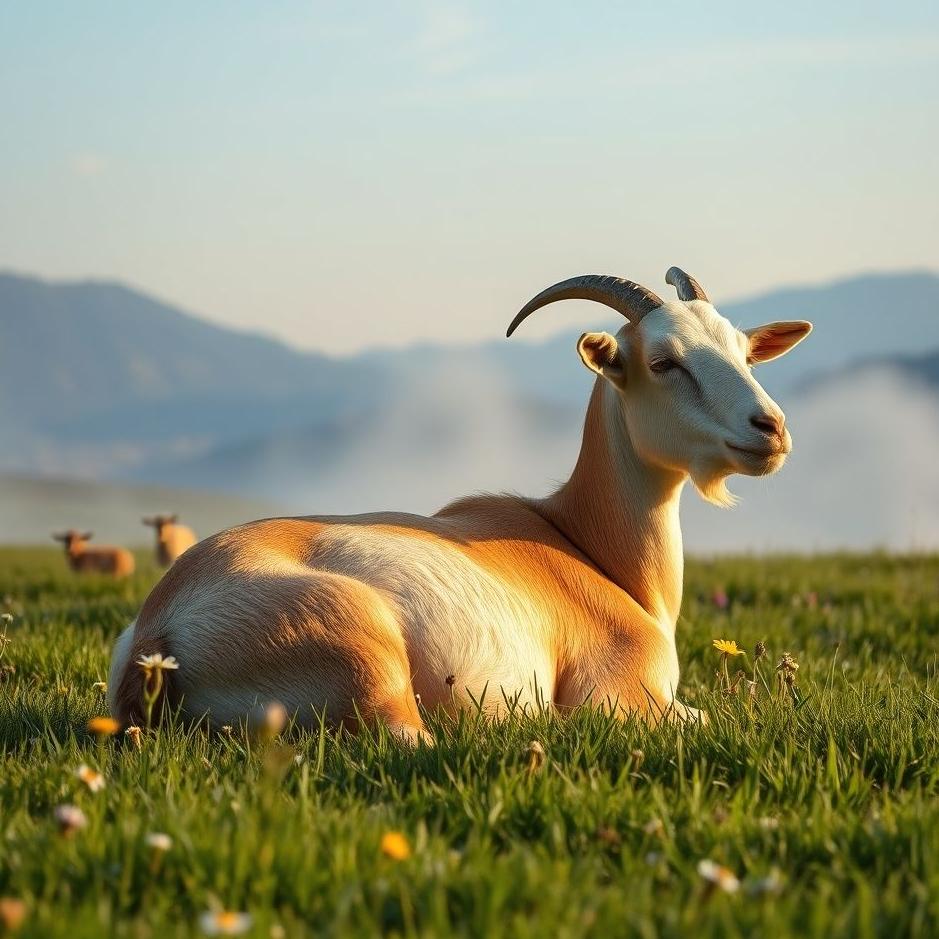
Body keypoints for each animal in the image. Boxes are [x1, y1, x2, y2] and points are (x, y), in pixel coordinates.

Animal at [108, 268, 811, 737]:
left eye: (745, 352)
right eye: (664, 362)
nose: (770, 429)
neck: (583, 544)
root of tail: (162, 631)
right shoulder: (622, 693)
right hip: (367, 664)